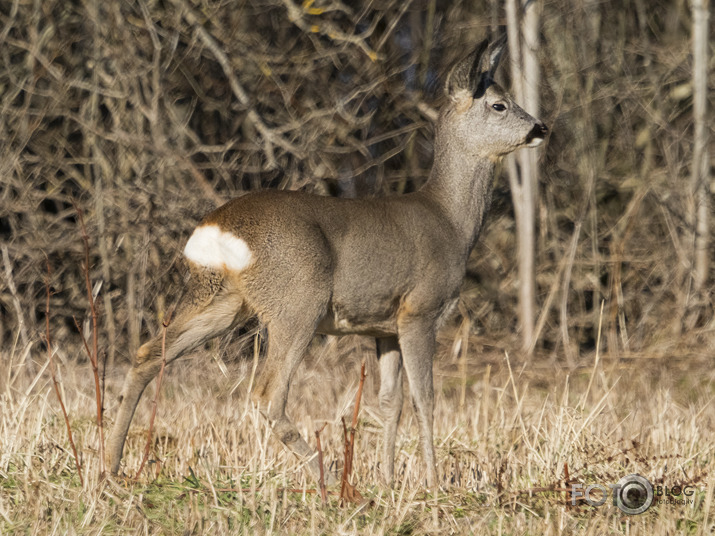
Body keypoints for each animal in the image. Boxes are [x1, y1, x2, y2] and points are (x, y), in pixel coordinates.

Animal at [107, 35, 548, 488]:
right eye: (499, 104)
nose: (540, 128)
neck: (450, 221)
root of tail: (216, 229)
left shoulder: (383, 326)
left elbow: (390, 402)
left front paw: (389, 479)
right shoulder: (420, 309)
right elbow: (425, 399)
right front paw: (433, 481)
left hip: (222, 300)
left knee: (147, 354)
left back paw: (112, 464)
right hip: (298, 300)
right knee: (267, 393)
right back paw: (333, 473)